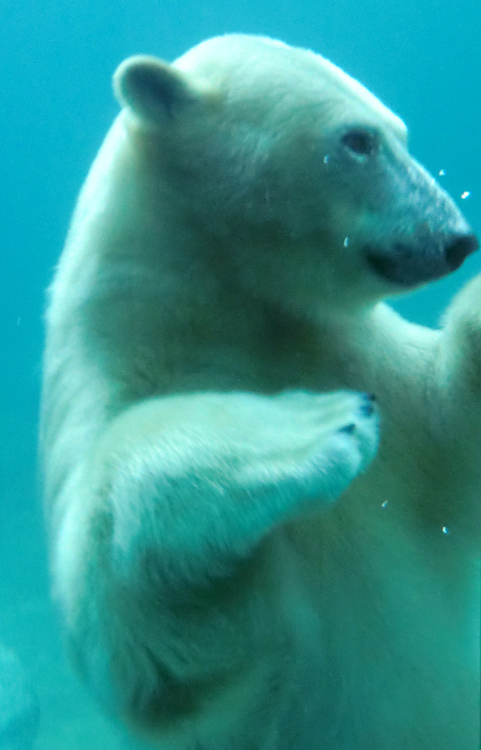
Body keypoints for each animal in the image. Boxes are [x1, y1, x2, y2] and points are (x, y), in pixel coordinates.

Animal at [39, 33, 478, 750]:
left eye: (400, 132)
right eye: (357, 139)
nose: (455, 238)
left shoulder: (368, 360)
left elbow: (451, 414)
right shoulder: (108, 370)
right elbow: (142, 641)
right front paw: (317, 425)